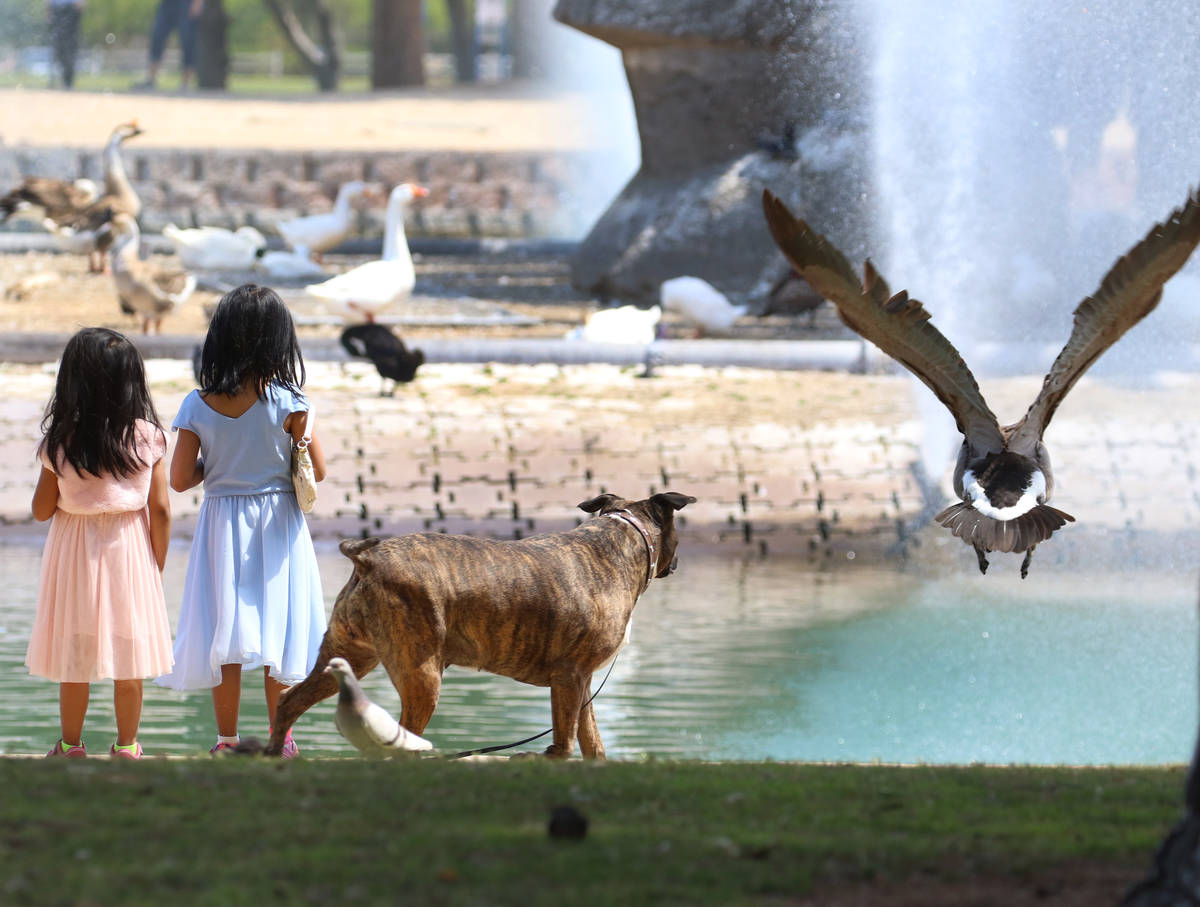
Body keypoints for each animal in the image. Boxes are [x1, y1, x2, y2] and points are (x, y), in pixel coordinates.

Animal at [262, 491, 696, 753]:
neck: (615, 542)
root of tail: (369, 557)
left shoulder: (581, 683)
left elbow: (592, 742)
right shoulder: (570, 679)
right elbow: (565, 741)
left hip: (349, 654)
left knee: (289, 700)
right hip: (422, 675)